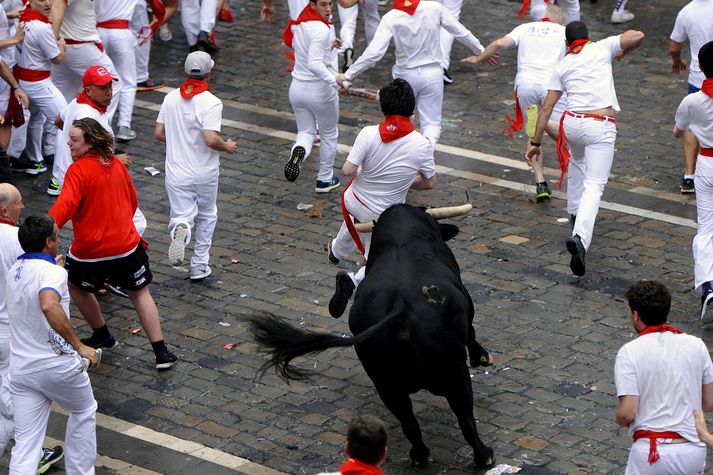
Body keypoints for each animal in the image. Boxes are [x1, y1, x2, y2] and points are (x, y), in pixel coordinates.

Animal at [249, 205, 496, 468]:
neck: (403, 239)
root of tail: (401, 307)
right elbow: (472, 332)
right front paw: (482, 357)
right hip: (454, 375)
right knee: (464, 418)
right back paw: (484, 455)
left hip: (386, 383)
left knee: (409, 422)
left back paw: (420, 455)